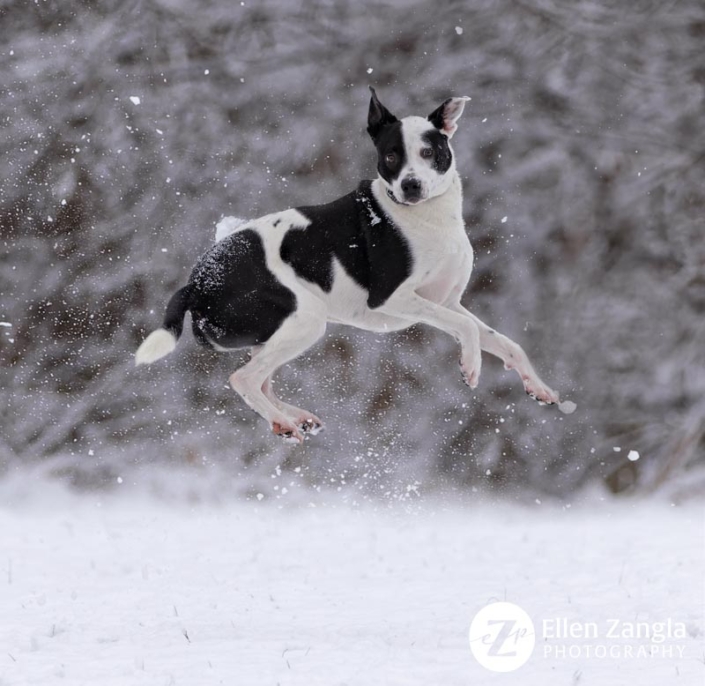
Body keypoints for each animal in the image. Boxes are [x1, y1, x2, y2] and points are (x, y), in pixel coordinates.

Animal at [135, 88, 568, 446]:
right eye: (391, 155)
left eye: (429, 153)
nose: (410, 185)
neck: (423, 216)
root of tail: (195, 282)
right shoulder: (395, 299)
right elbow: (467, 331)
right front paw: (471, 368)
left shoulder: (446, 302)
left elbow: (505, 343)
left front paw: (540, 389)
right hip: (305, 320)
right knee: (244, 378)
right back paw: (284, 423)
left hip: (276, 334)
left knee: (262, 381)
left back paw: (293, 419)